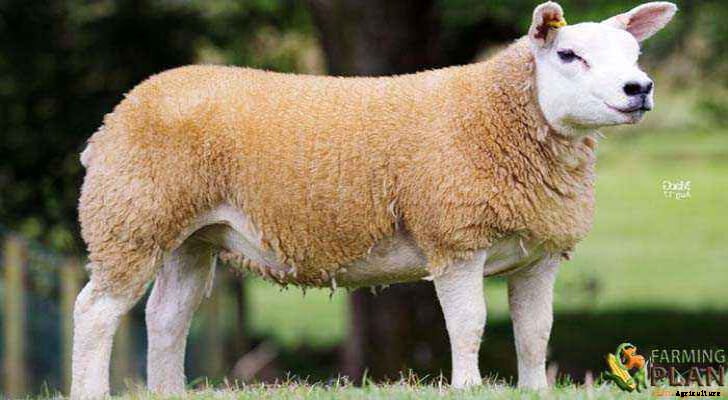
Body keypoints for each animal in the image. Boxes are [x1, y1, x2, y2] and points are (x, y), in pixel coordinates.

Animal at [71, 2, 677, 398]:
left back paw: (167, 391)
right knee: (95, 312)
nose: (639, 89)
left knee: (167, 316)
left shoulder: (540, 251)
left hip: (189, 234)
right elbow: (470, 322)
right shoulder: (454, 236)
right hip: (130, 215)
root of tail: (116, 114)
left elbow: (535, 331)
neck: (497, 115)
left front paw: (532, 391)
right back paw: (92, 389)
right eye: (569, 55)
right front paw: (468, 386)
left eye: (635, 53)